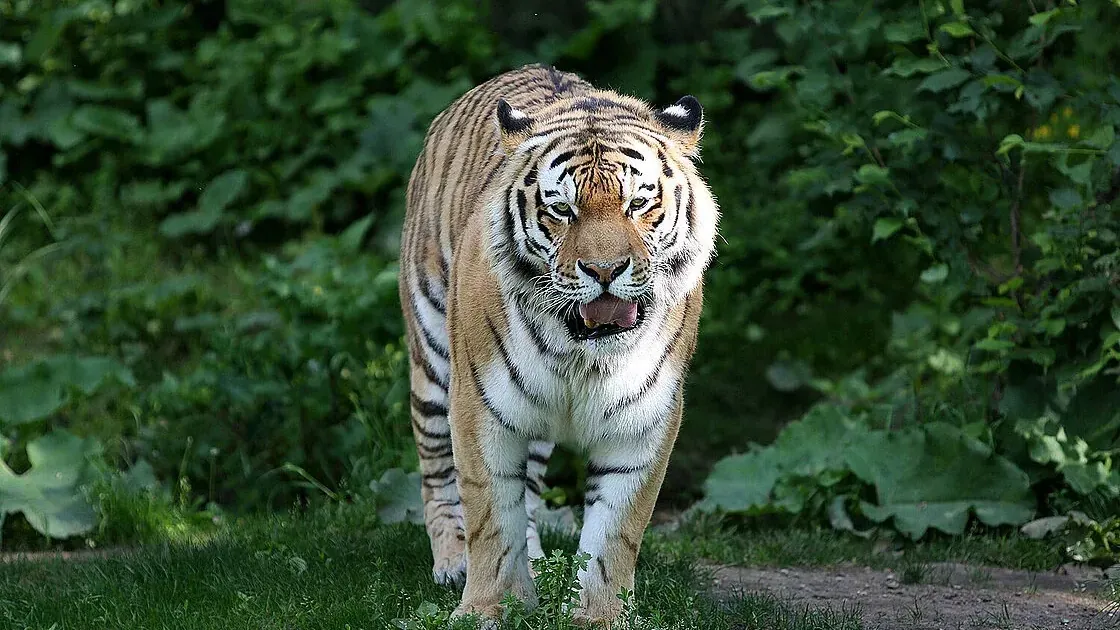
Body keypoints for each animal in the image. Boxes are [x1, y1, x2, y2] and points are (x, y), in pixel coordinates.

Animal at [398, 63, 721, 623]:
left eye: (638, 204)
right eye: (562, 210)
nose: (605, 271)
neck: (582, 354)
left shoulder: (644, 420)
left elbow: (614, 534)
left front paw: (600, 615)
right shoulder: (479, 405)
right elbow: (489, 517)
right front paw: (485, 609)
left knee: (527, 489)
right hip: (435, 360)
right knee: (437, 472)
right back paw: (452, 561)